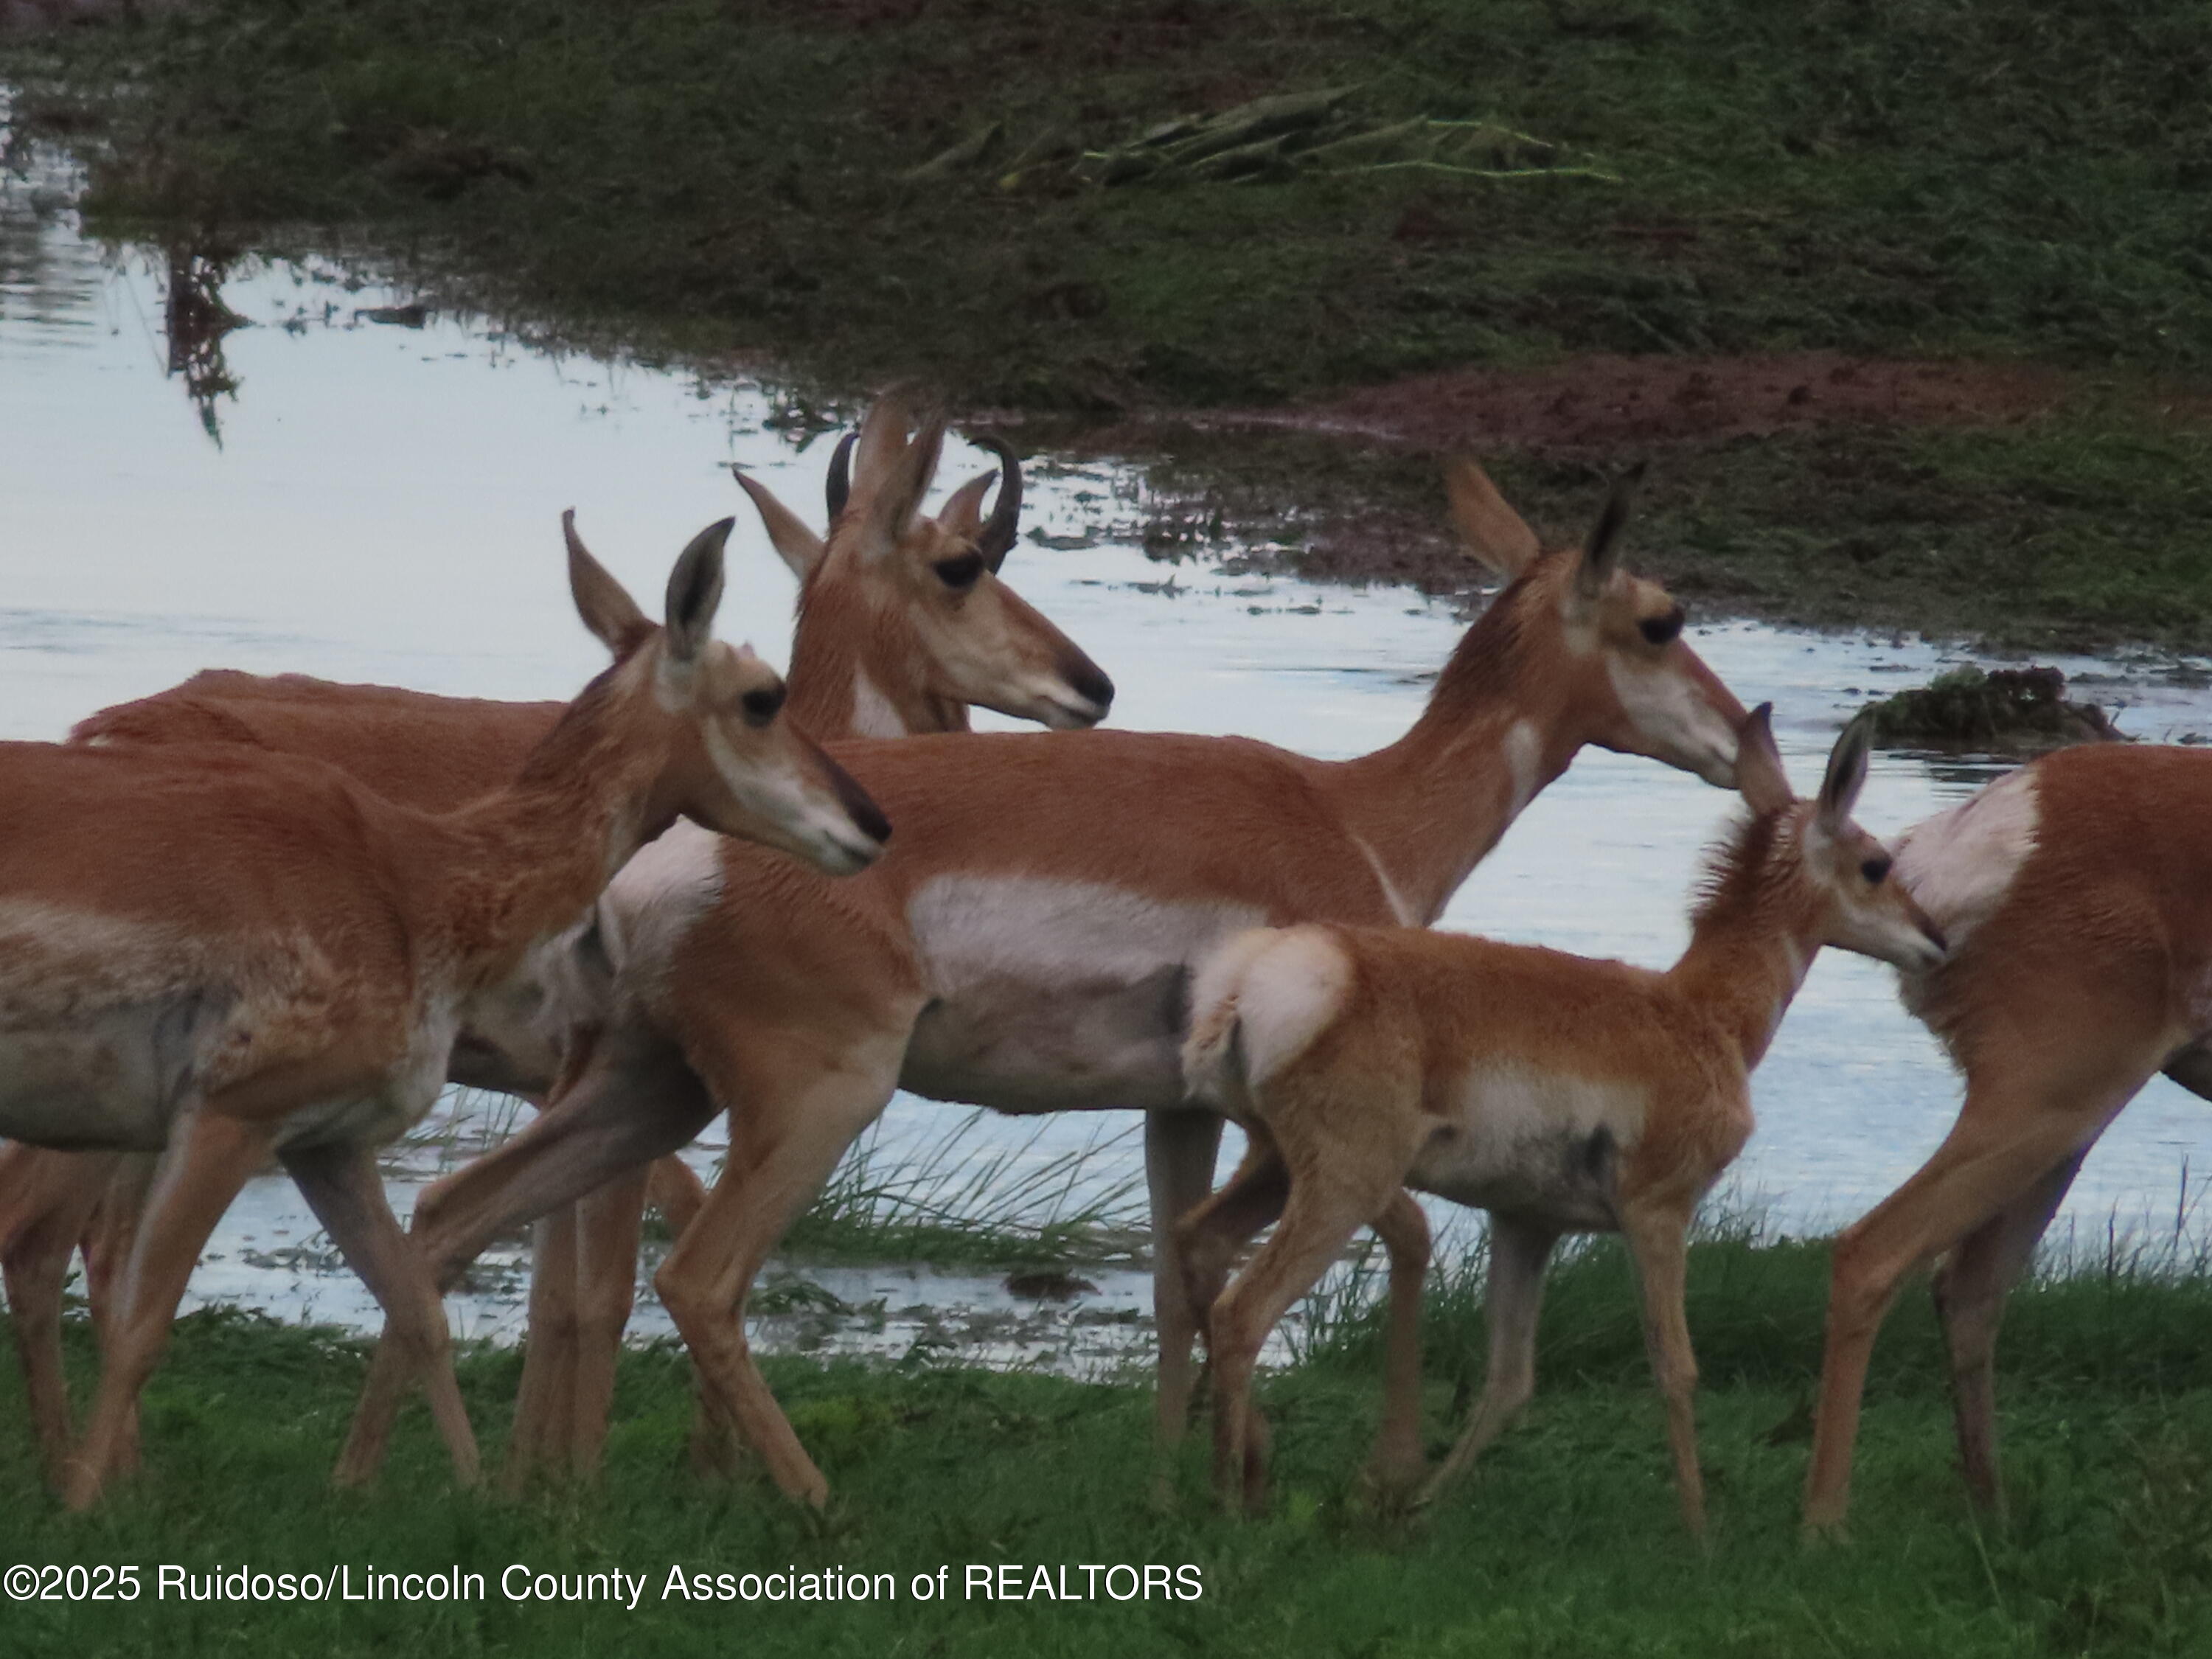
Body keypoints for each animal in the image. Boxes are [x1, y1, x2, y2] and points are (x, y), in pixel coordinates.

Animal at [345, 458, 1752, 1504]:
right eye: (1664, 618)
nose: (1747, 741)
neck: (1357, 814)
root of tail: (666, 862)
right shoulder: (1311, 1124)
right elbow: (1391, 1238)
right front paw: (1347, 1477)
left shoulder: (1179, 1110)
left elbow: (1178, 1275)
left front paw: (1179, 1483)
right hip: (814, 1101)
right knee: (694, 1279)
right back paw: (812, 1507)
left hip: (643, 1086)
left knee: (451, 1219)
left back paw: (400, 1490)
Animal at [1186, 703, 1947, 1531]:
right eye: (1877, 863)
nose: (1937, 940)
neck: (1698, 1011)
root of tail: (1261, 977)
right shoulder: (1658, 1213)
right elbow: (1676, 1367)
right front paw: (1699, 1530)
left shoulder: (1526, 1223)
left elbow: (1510, 1380)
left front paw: (1420, 1507)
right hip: (1345, 1183)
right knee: (1244, 1311)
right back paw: (1230, 1501)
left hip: (1274, 1166)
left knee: (1199, 1243)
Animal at [1805, 748, 2212, 1540]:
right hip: (2056, 1084)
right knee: (1875, 1249)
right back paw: (1824, 1528)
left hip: (2067, 1112)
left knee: (1967, 1284)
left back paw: (1993, 1516)